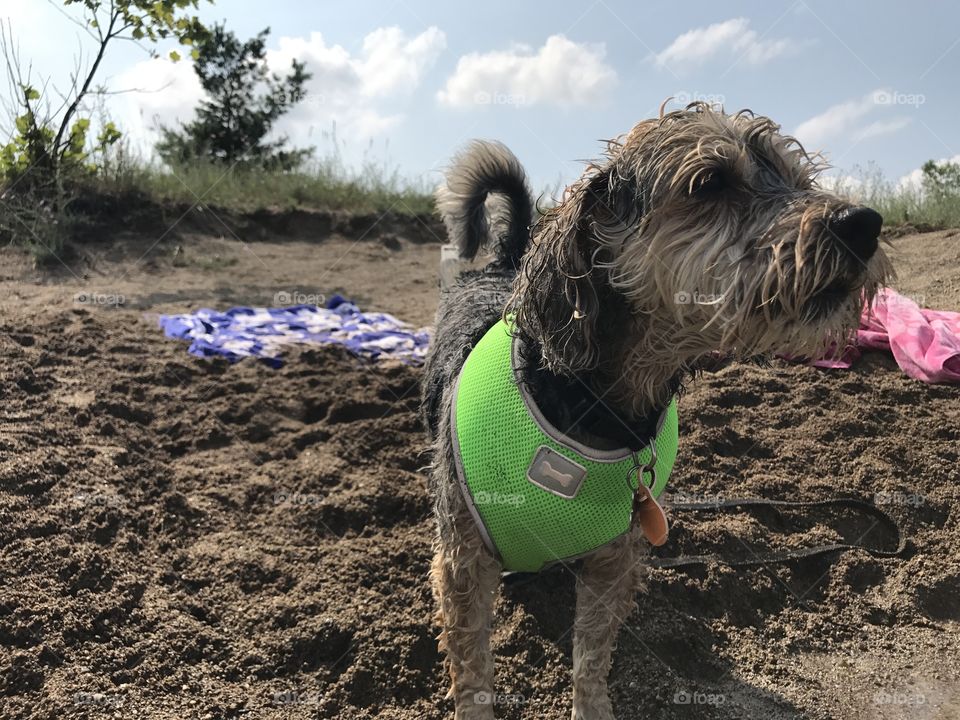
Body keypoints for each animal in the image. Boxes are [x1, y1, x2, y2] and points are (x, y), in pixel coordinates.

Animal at [420, 102, 892, 720]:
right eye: (710, 181)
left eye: (800, 179)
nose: (864, 223)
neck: (595, 410)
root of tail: (503, 262)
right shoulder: (463, 564)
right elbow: (473, 668)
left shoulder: (614, 562)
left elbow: (592, 657)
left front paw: (591, 706)